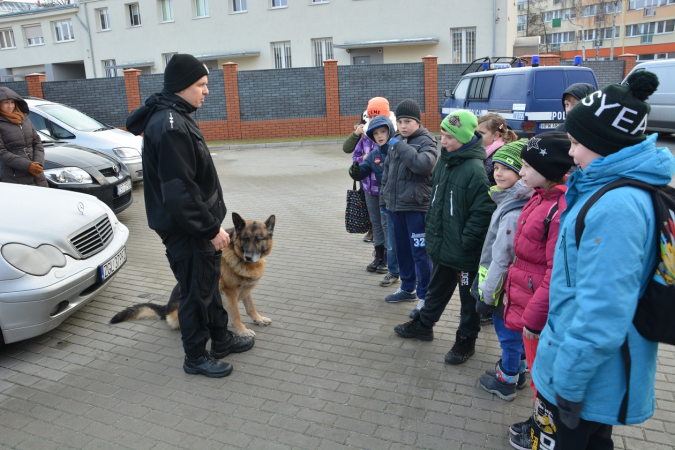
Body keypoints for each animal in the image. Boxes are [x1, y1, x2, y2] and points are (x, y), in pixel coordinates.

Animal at [112, 214, 276, 338]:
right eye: (245, 239)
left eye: (259, 239)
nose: (248, 257)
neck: (237, 254)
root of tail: (166, 309)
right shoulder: (229, 293)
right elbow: (236, 314)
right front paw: (242, 331)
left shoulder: (245, 290)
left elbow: (250, 307)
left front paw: (258, 319)